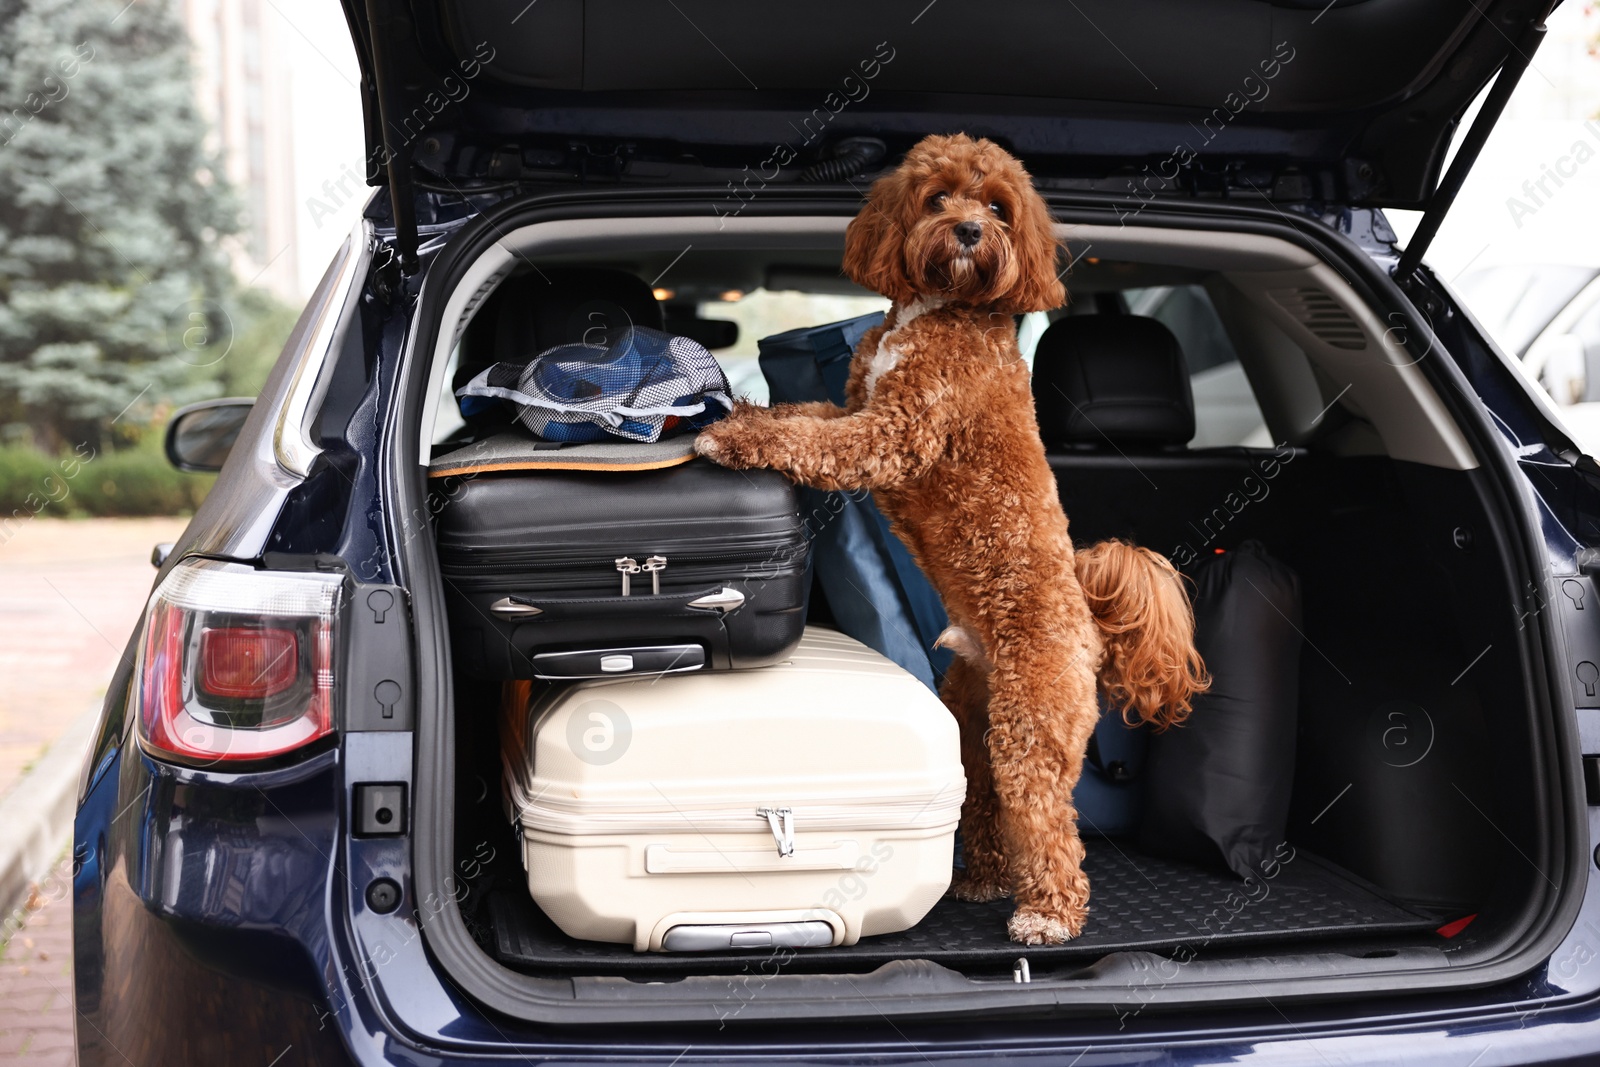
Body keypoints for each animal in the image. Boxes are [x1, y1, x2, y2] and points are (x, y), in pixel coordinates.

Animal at [694, 133, 1203, 940]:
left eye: (998, 207)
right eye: (937, 197)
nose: (967, 231)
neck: (938, 308)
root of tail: (1090, 625)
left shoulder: (895, 431)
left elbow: (812, 440)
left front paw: (735, 438)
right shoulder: (855, 403)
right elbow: (804, 415)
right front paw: (743, 410)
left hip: (1033, 723)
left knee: (1048, 821)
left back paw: (1047, 914)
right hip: (972, 715)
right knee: (987, 800)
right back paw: (984, 879)